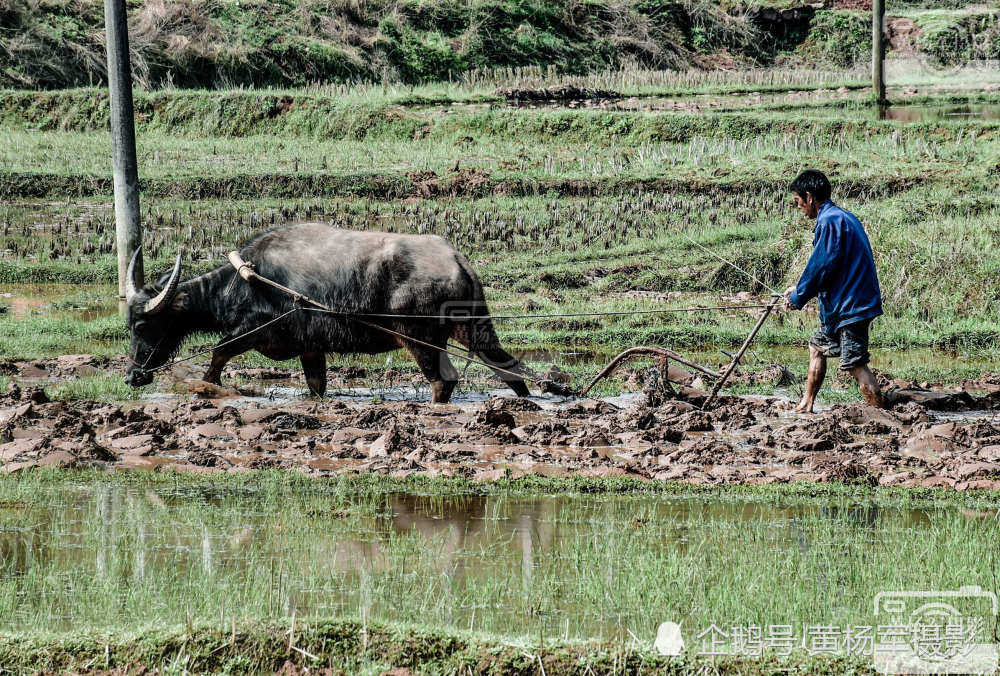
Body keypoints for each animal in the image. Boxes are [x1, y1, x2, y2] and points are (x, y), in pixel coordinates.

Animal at [122, 222, 536, 404]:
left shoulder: (254, 331)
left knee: (443, 380)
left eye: (141, 325)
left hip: (419, 338)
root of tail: (455, 258)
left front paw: (207, 387)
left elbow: (218, 353)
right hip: (471, 327)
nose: (132, 377)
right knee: (506, 366)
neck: (247, 280)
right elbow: (316, 384)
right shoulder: (311, 348)